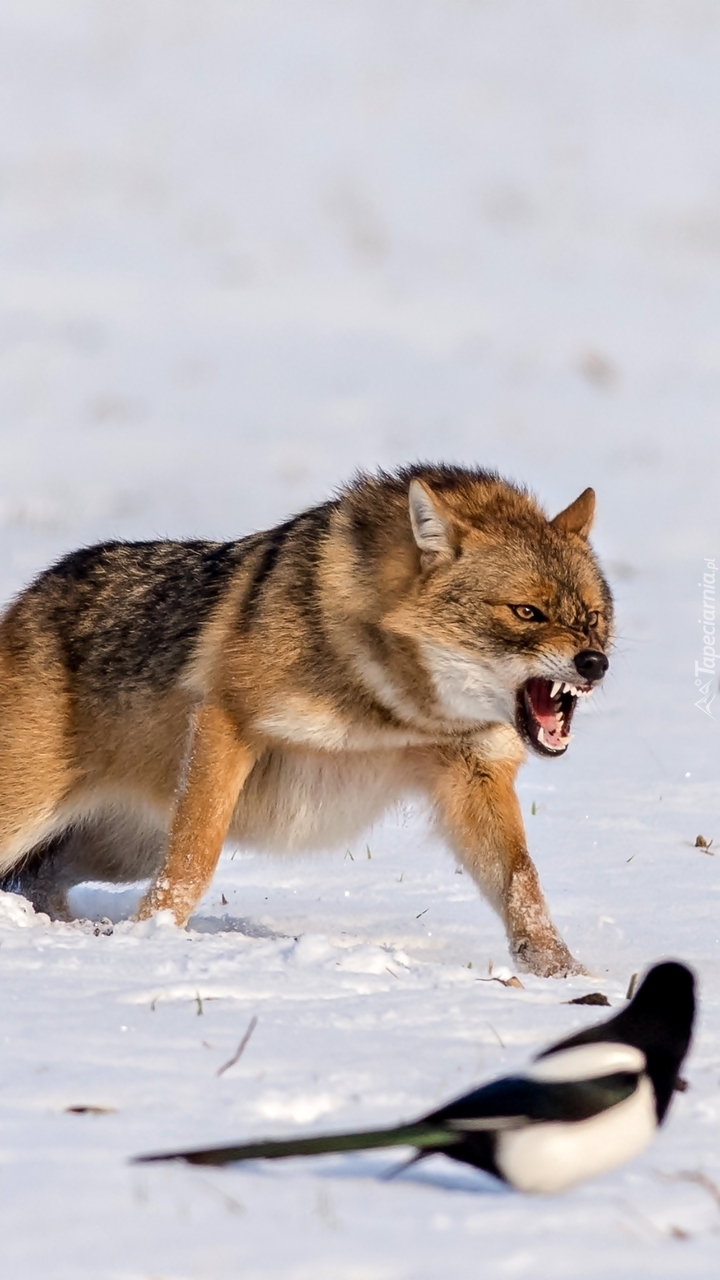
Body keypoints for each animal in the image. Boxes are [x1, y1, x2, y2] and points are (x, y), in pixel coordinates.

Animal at [0, 465, 607, 972]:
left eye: (594, 617)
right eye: (527, 612)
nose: (595, 663)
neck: (397, 707)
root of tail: (30, 596)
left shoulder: (473, 772)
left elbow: (522, 885)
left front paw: (561, 973)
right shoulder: (226, 722)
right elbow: (196, 859)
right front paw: (155, 935)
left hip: (124, 847)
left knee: (38, 880)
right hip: (41, 819)